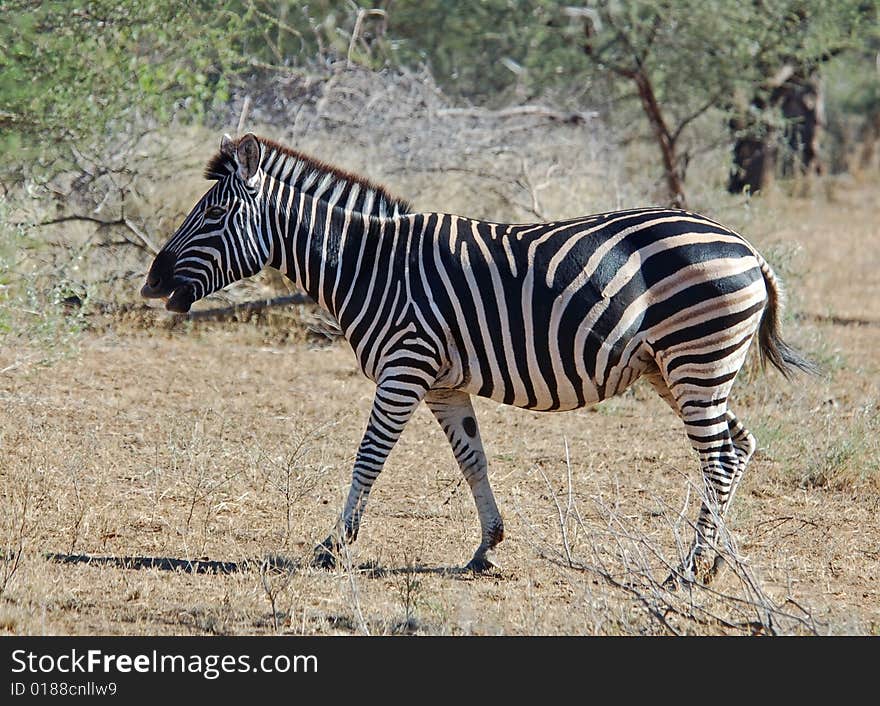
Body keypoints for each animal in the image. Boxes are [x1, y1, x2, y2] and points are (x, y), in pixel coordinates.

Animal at [143, 133, 812, 576]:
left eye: (214, 212)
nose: (150, 283)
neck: (369, 264)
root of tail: (747, 247)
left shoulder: (404, 367)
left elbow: (368, 458)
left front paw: (333, 546)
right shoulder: (442, 382)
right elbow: (473, 461)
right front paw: (487, 546)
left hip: (696, 360)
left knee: (720, 455)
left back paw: (690, 570)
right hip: (678, 372)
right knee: (739, 444)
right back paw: (716, 560)